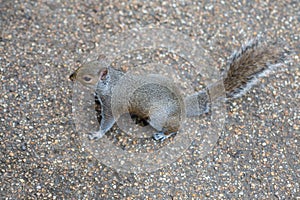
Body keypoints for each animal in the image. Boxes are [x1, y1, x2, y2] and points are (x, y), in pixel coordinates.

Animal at [69, 36, 290, 141]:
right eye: (82, 64)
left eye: (87, 78)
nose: (71, 76)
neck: (111, 82)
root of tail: (182, 105)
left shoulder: (113, 105)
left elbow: (107, 122)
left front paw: (97, 134)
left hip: (158, 117)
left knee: (175, 128)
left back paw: (162, 134)